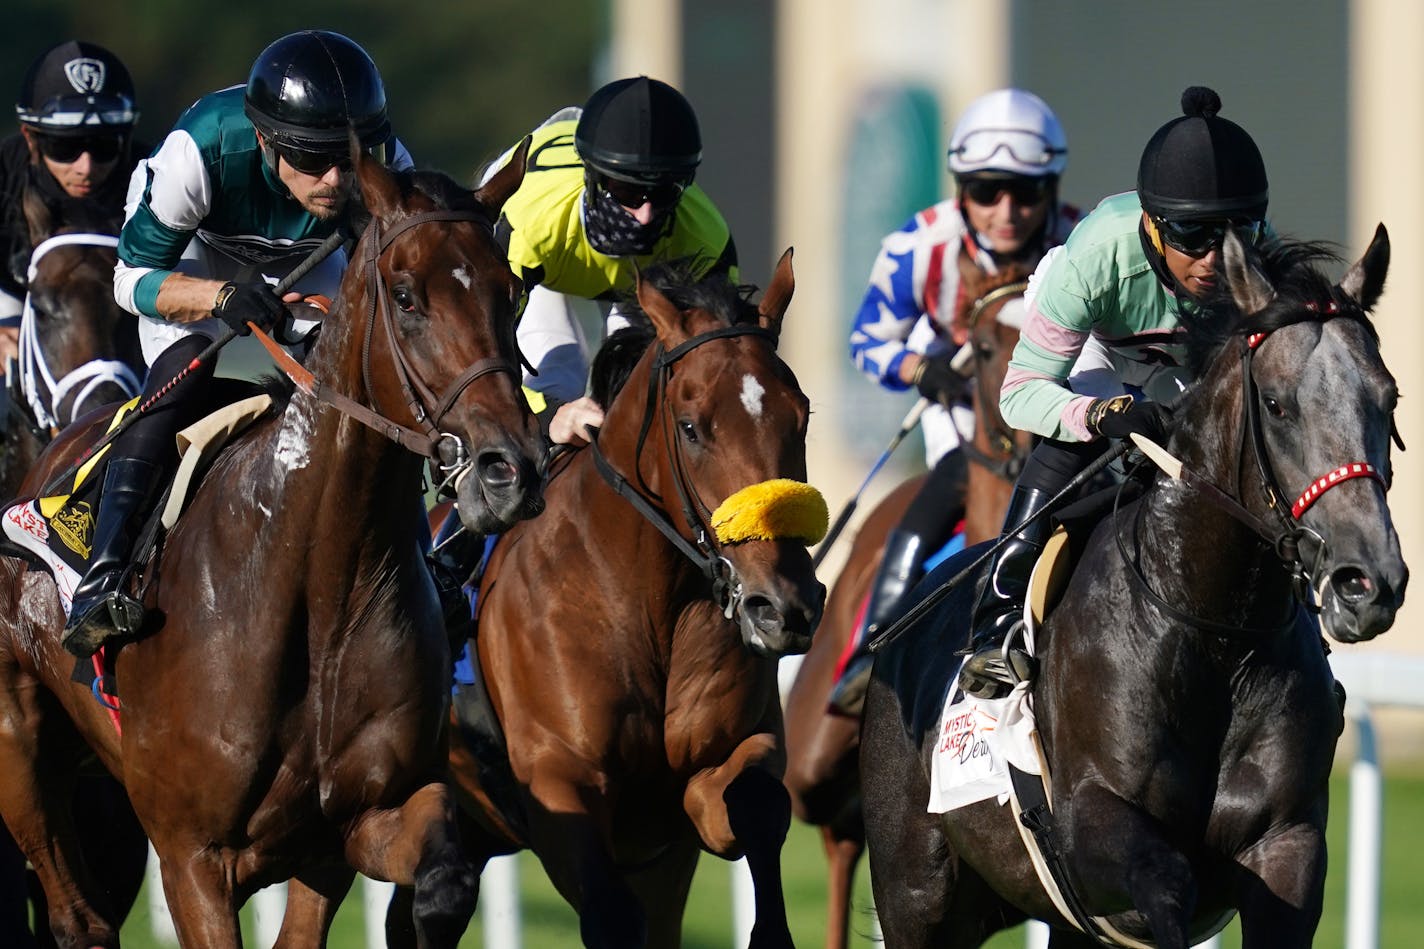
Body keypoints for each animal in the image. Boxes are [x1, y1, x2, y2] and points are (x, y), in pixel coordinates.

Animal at [0, 142, 543, 946]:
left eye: (512, 293)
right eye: (405, 296)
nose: (513, 468)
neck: (319, 576)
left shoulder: (345, 831)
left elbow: (444, 879)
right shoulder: (191, 858)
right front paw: (244, 301)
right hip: (22, 751)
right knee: (79, 917)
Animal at [395, 255, 831, 940]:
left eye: (802, 414)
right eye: (691, 428)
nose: (783, 606)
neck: (646, 603)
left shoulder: (700, 794)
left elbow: (757, 805)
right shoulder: (559, 785)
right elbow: (611, 915)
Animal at [854, 223, 1401, 946]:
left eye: (1389, 397)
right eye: (1277, 405)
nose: (1367, 581)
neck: (1212, 631)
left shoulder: (1289, 842)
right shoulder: (1091, 831)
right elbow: (1164, 879)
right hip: (916, 888)